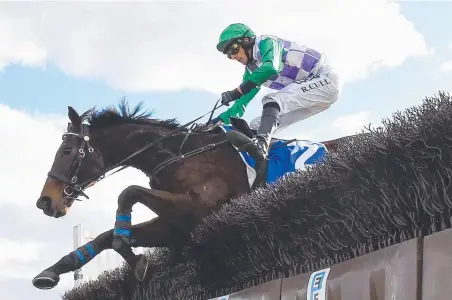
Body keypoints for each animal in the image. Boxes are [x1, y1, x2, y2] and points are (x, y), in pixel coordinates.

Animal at [32, 101, 346, 290]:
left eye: (67, 151)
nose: (45, 201)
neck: (180, 154)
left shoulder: (201, 210)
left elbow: (128, 193)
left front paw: (134, 257)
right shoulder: (176, 226)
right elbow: (104, 236)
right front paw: (52, 271)